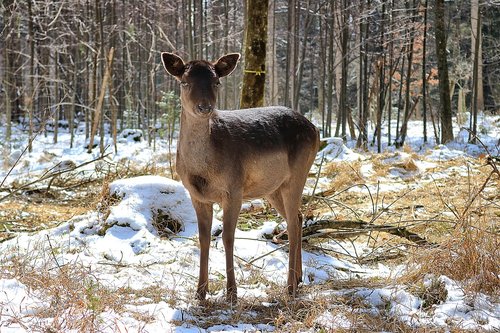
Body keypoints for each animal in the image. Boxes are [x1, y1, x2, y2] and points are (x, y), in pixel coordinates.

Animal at [161, 51, 320, 300]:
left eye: (216, 82)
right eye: (184, 82)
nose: (205, 107)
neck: (203, 171)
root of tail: (315, 128)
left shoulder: (234, 190)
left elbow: (228, 237)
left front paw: (232, 294)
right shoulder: (196, 196)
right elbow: (203, 239)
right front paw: (200, 292)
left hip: (298, 173)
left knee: (294, 223)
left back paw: (290, 287)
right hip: (273, 187)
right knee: (298, 217)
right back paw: (299, 278)